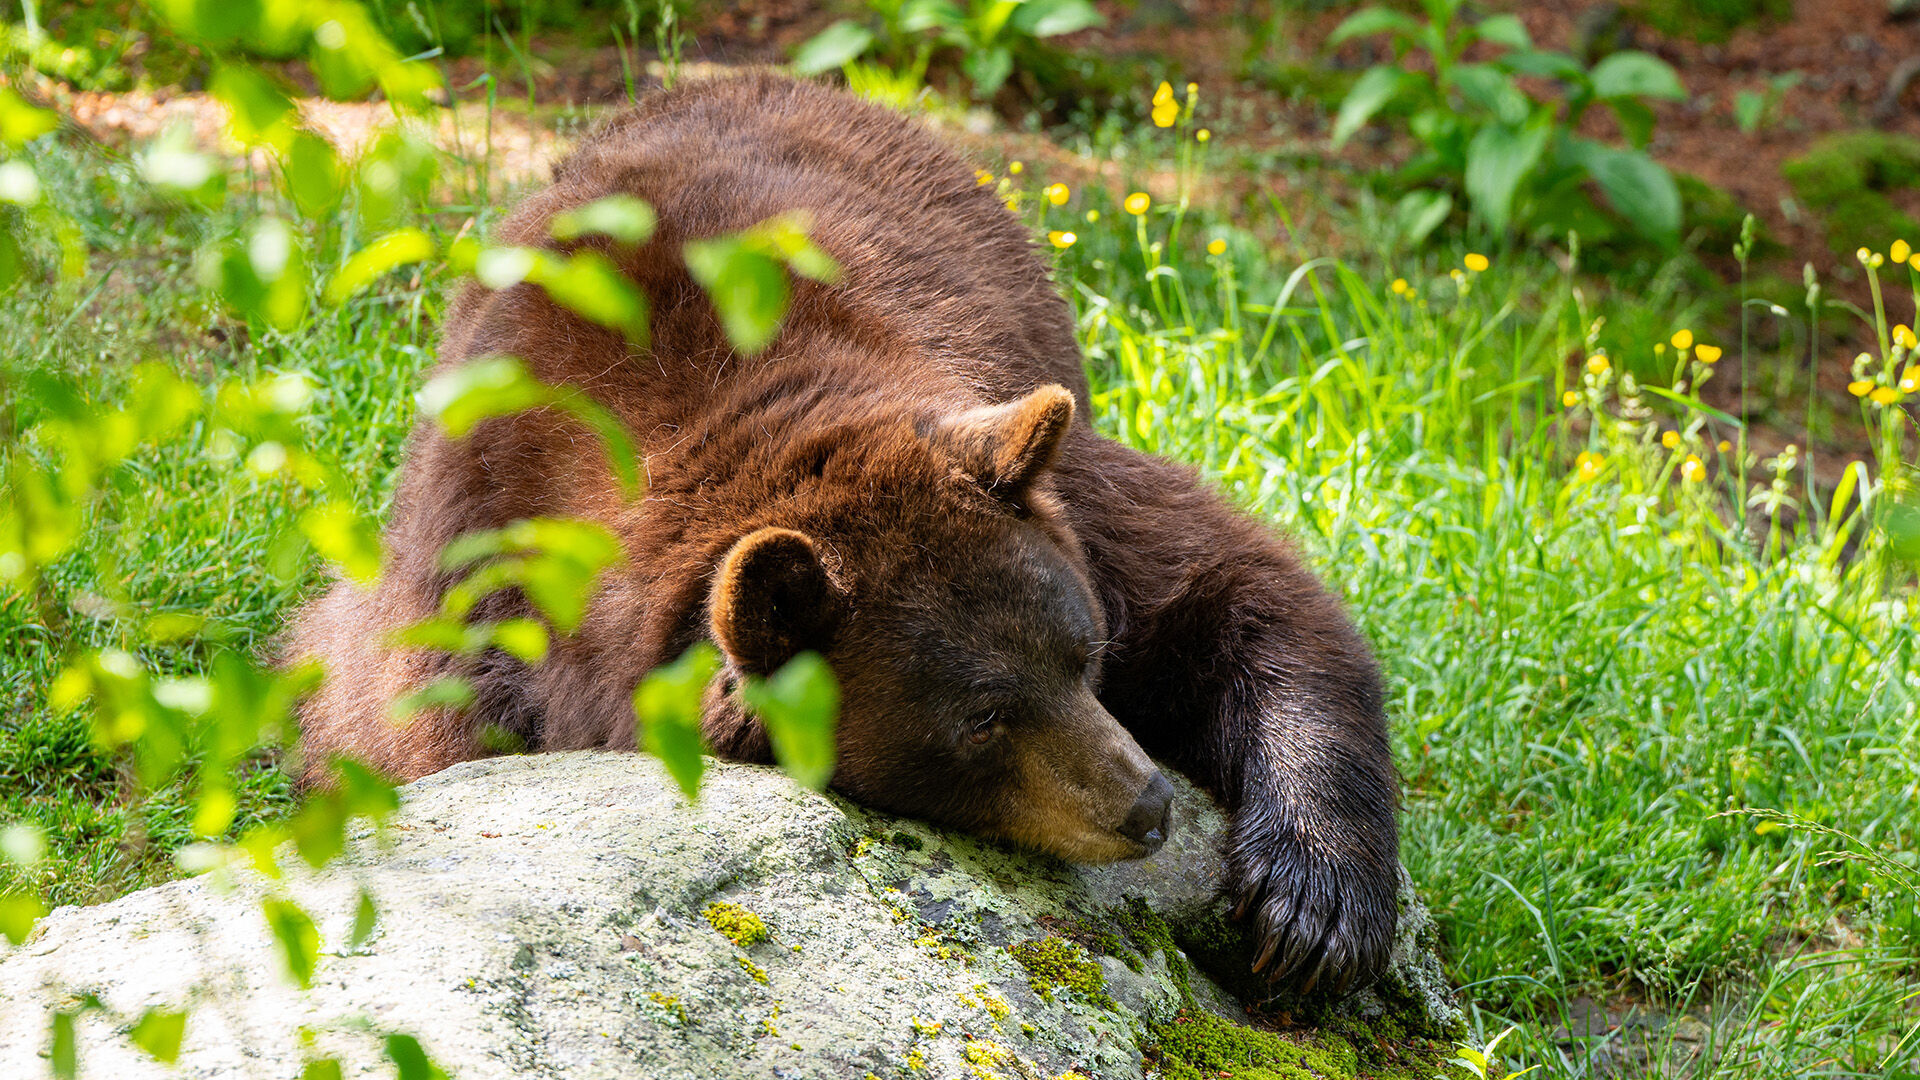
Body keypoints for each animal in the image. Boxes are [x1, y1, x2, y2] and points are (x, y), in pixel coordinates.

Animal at [288, 73, 1400, 996]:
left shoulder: (1058, 481)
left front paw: (1313, 906)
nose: (1146, 806)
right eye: (979, 717)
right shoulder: (468, 589)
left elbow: (1233, 585)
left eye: (1082, 652)